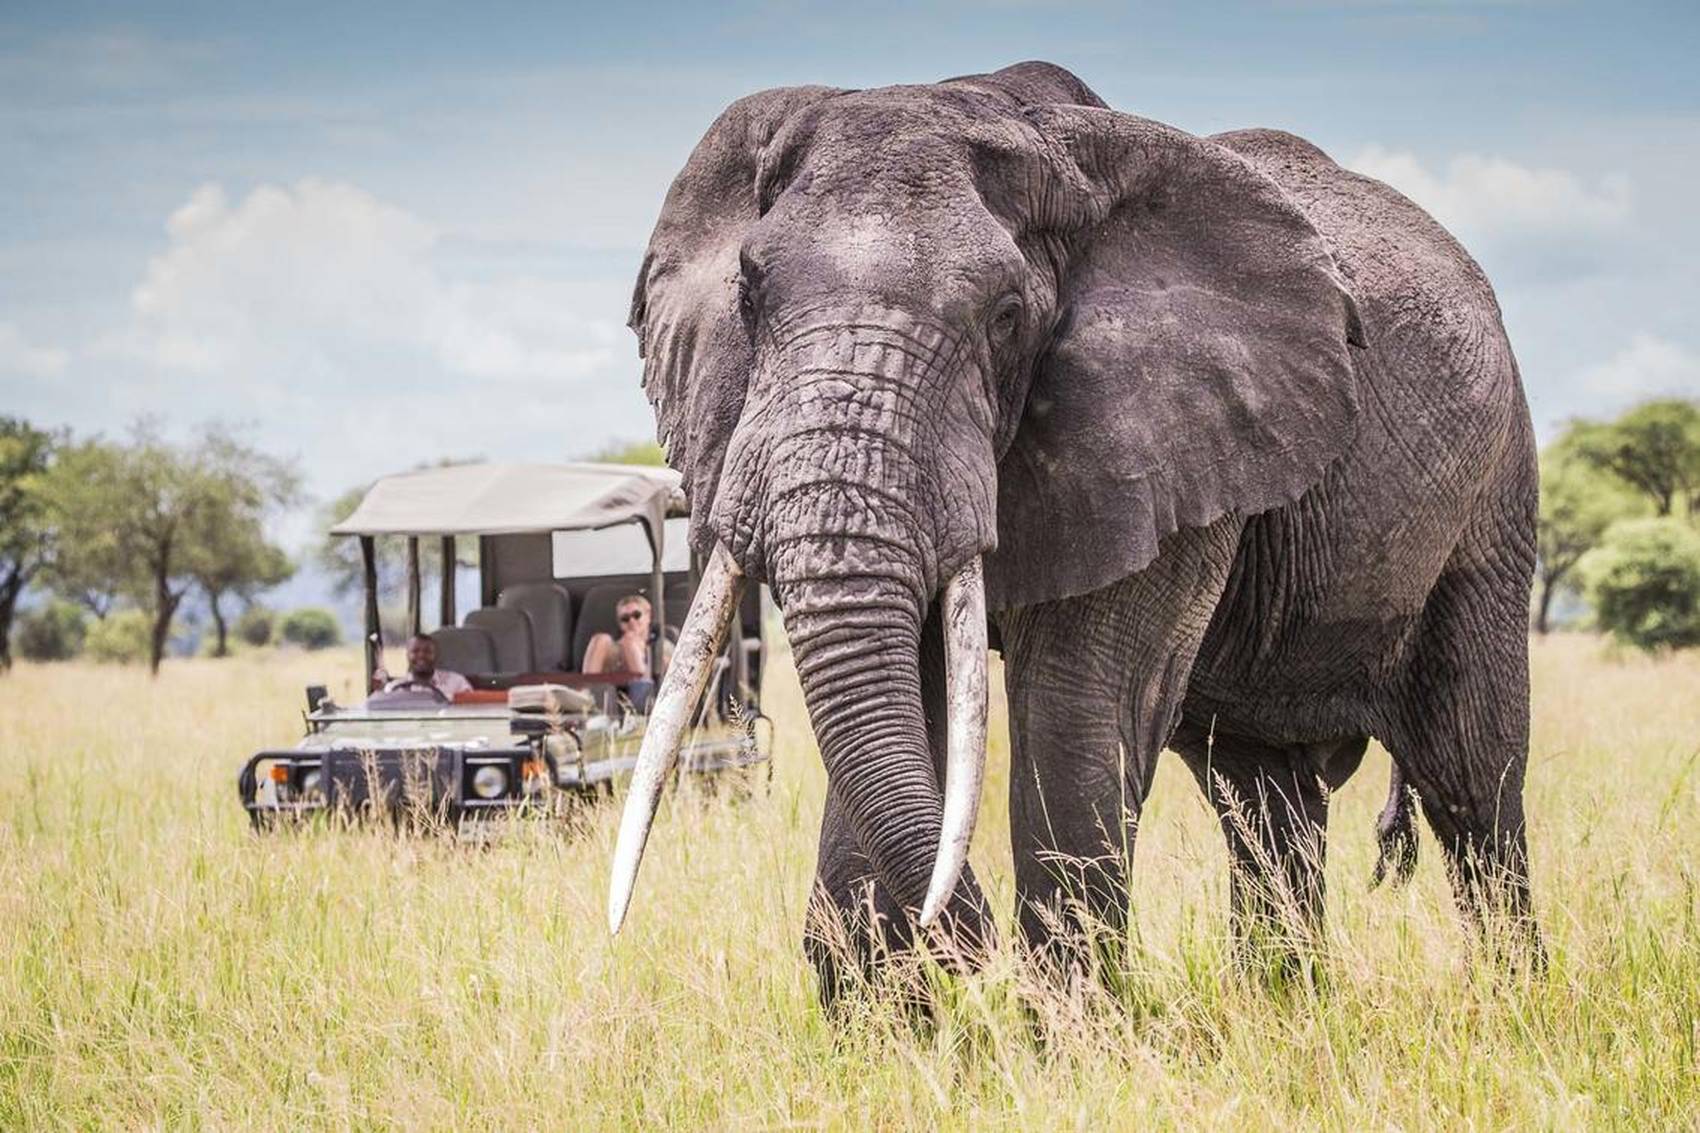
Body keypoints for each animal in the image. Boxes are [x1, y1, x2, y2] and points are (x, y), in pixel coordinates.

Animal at [607, 61, 1541, 992]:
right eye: (748, 294)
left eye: (1005, 316)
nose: (970, 953)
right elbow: (911, 700)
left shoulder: (1164, 442)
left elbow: (1075, 716)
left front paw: (1060, 1014)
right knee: (1263, 799)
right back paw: (1284, 1003)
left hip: (1493, 493)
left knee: (1471, 781)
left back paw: (1508, 995)